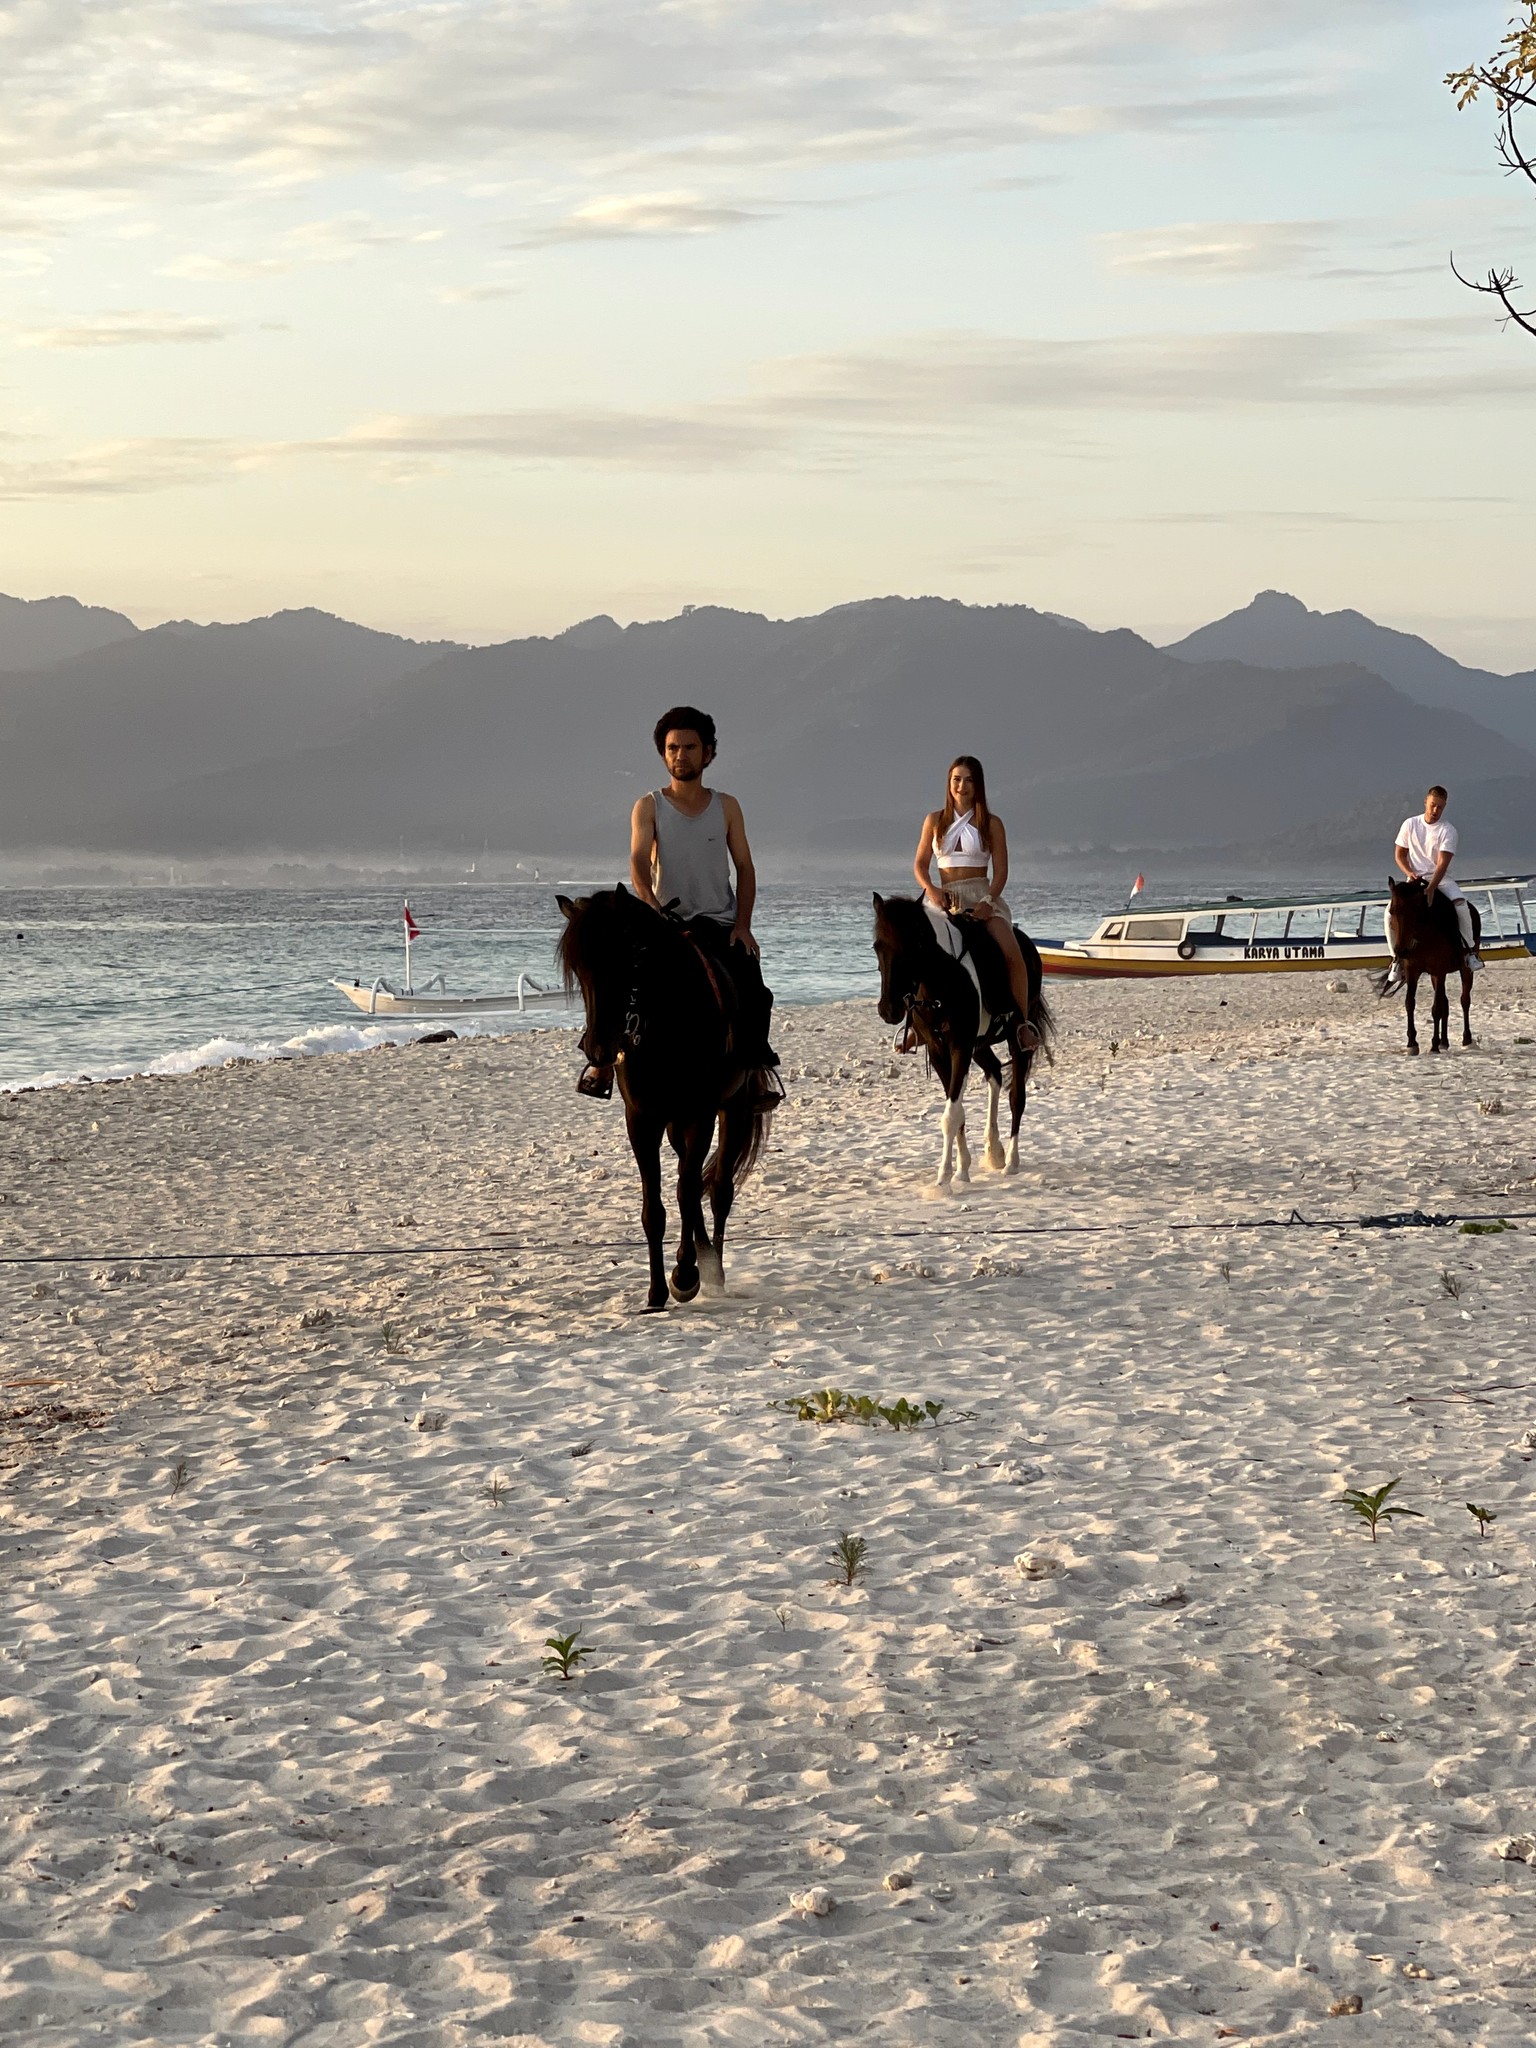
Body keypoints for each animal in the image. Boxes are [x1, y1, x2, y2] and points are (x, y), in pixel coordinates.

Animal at [557, 884, 774, 1310]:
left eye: (628, 958)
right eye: (577, 968)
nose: (599, 1049)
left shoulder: (702, 1113)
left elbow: (689, 1192)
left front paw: (686, 1274)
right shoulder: (642, 1120)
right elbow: (654, 1207)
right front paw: (657, 1290)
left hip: (734, 1109)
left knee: (718, 1189)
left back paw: (713, 1268)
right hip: (675, 1124)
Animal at [872, 892, 1056, 1187]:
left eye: (915, 944)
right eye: (877, 945)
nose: (889, 1010)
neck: (943, 980)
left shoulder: (960, 1045)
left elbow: (951, 1115)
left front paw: (943, 1179)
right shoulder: (939, 1049)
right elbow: (956, 1111)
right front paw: (961, 1169)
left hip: (1016, 1039)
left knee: (1017, 1097)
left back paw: (1011, 1162)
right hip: (979, 1045)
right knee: (995, 1072)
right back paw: (994, 1152)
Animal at [1384, 872, 1482, 1056]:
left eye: (1415, 912)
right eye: (1392, 912)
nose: (1401, 951)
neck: (1422, 935)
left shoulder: (1439, 969)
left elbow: (1436, 1008)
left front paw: (1434, 1045)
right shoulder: (1412, 970)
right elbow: (1410, 1003)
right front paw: (1412, 1043)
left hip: (1465, 969)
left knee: (1464, 1000)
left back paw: (1466, 1040)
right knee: (1446, 1003)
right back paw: (1444, 1041)